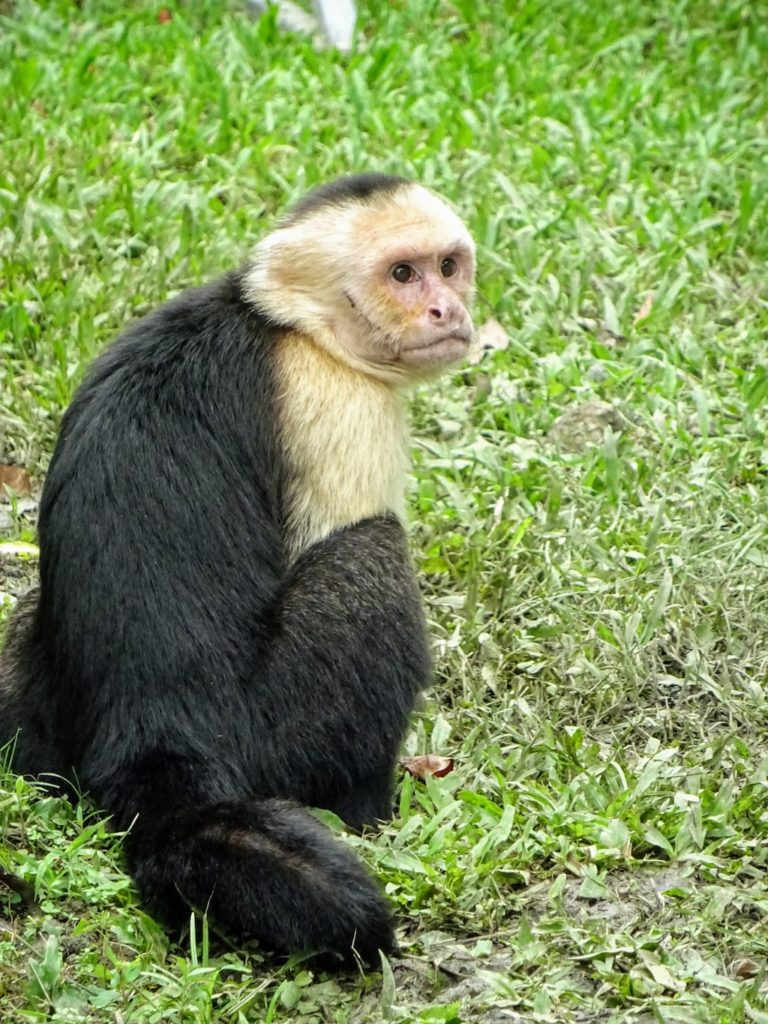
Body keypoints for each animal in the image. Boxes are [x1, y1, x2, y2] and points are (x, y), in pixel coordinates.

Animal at [0, 172, 475, 962]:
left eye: (449, 266)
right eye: (403, 275)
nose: (449, 309)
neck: (295, 325)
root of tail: (155, 732)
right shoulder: (336, 404)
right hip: (268, 740)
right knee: (372, 553)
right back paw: (369, 808)